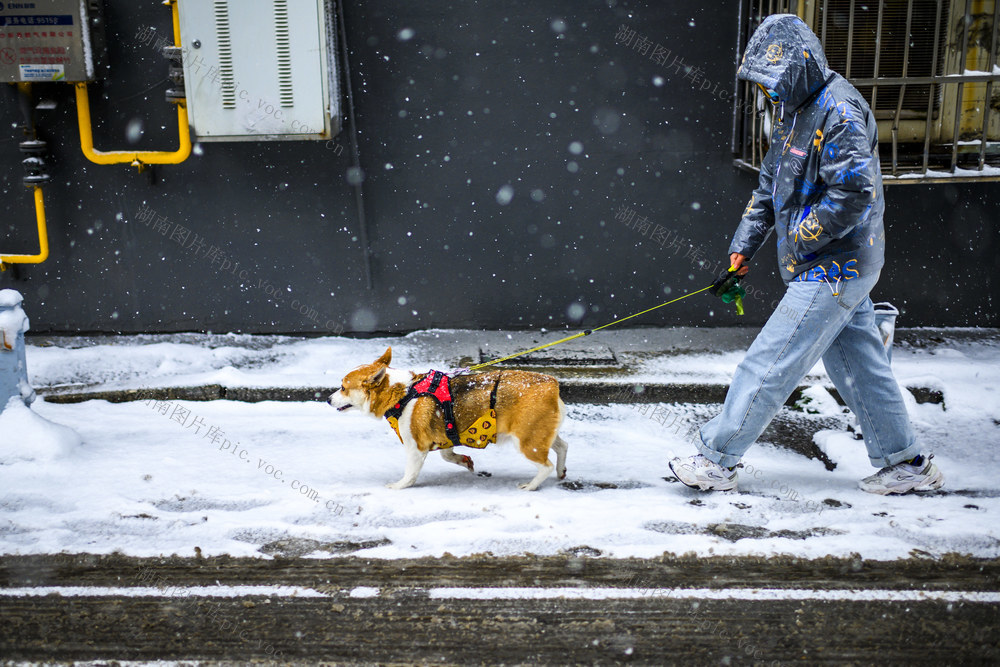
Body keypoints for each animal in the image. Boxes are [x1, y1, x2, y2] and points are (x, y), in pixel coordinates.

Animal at [326, 350, 568, 490]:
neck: (404, 393)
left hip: (527, 441)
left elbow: (410, 473)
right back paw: (561, 472)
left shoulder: (415, 447)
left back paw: (531, 486)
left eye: (343, 387)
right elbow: (448, 455)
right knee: (562, 446)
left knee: (545, 465)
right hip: (541, 434)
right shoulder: (447, 435)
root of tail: (551, 383)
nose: (328, 399)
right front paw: (465, 461)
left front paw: (399, 485)